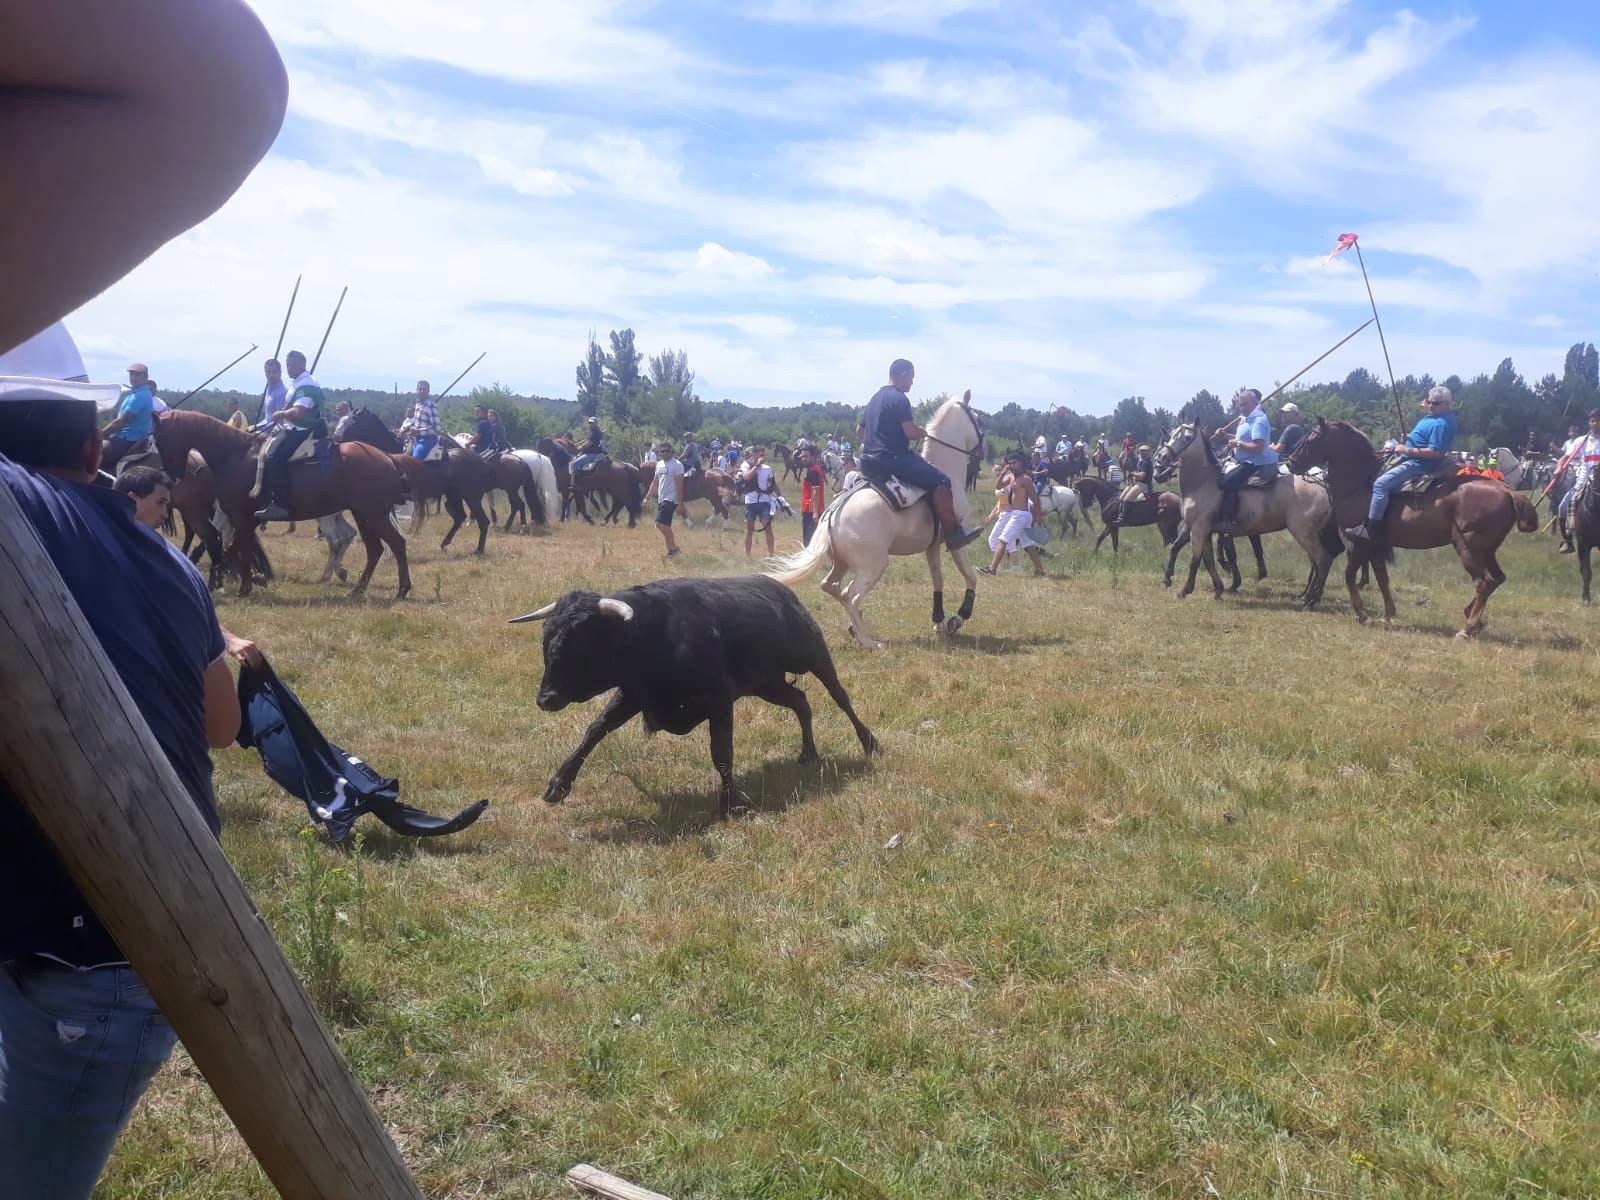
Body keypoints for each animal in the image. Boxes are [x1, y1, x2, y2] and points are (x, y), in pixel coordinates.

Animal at [152, 412, 409, 601]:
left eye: (160, 438)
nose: (172, 477)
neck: (235, 455)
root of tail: (388, 458)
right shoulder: (245, 517)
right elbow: (234, 547)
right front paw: (250, 579)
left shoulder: (241, 516)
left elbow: (236, 547)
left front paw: (243, 586)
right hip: (364, 515)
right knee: (374, 549)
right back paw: (358, 588)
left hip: (372, 514)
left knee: (393, 544)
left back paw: (401, 589)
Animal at [512, 576, 883, 819]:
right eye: (547, 638)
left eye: (583, 641)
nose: (545, 699)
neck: (656, 633)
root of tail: (781, 590)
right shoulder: (632, 695)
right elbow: (595, 731)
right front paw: (559, 784)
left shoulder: (719, 700)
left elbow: (721, 753)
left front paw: (731, 803)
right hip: (767, 684)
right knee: (801, 702)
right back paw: (808, 752)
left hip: (815, 657)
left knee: (840, 697)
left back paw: (869, 742)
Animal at [768, 396, 979, 652]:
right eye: (978, 419)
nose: (981, 452)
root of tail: (832, 514)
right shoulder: (956, 540)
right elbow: (971, 576)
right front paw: (957, 618)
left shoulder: (932, 547)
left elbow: (938, 580)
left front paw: (939, 622)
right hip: (874, 566)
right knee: (851, 595)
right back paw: (869, 641)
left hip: (842, 563)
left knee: (832, 587)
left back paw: (856, 626)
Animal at [1286, 419, 1536, 633]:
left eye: (1311, 439)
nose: (1290, 462)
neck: (1362, 484)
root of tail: (1509, 491)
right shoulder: (1376, 546)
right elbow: (1382, 578)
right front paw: (1387, 614)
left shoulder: (1359, 543)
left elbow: (1349, 575)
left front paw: (1362, 613)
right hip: (1487, 550)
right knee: (1497, 579)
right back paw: (1473, 618)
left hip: (1468, 547)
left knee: (1484, 582)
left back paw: (1467, 628)